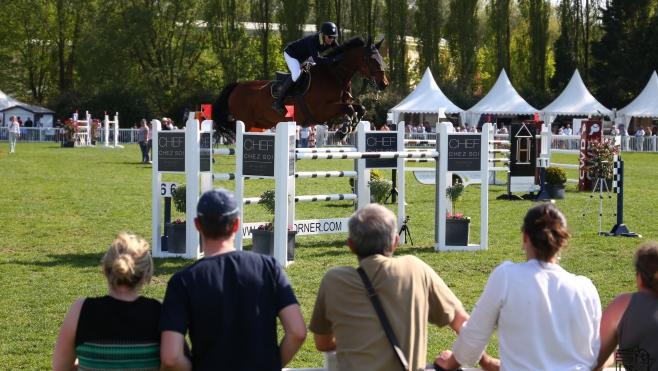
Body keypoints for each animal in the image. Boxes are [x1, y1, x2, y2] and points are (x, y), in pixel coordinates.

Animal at [211, 36, 384, 141]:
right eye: (370, 59)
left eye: (381, 58)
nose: (384, 83)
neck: (334, 76)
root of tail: (237, 86)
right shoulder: (322, 110)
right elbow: (349, 108)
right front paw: (342, 131)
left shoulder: (336, 108)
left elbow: (358, 108)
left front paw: (349, 128)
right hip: (246, 121)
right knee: (231, 127)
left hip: (261, 123)